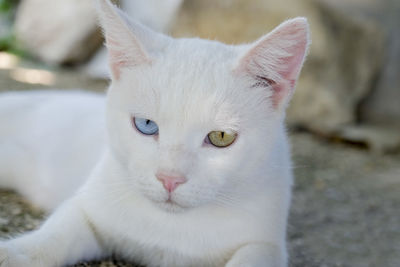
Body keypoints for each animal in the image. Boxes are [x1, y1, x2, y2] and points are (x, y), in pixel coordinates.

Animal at [0, 1, 310, 266]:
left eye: (221, 137)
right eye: (146, 124)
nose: (170, 179)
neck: (170, 228)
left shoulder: (265, 243)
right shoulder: (87, 209)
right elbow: (53, 237)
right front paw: (13, 255)